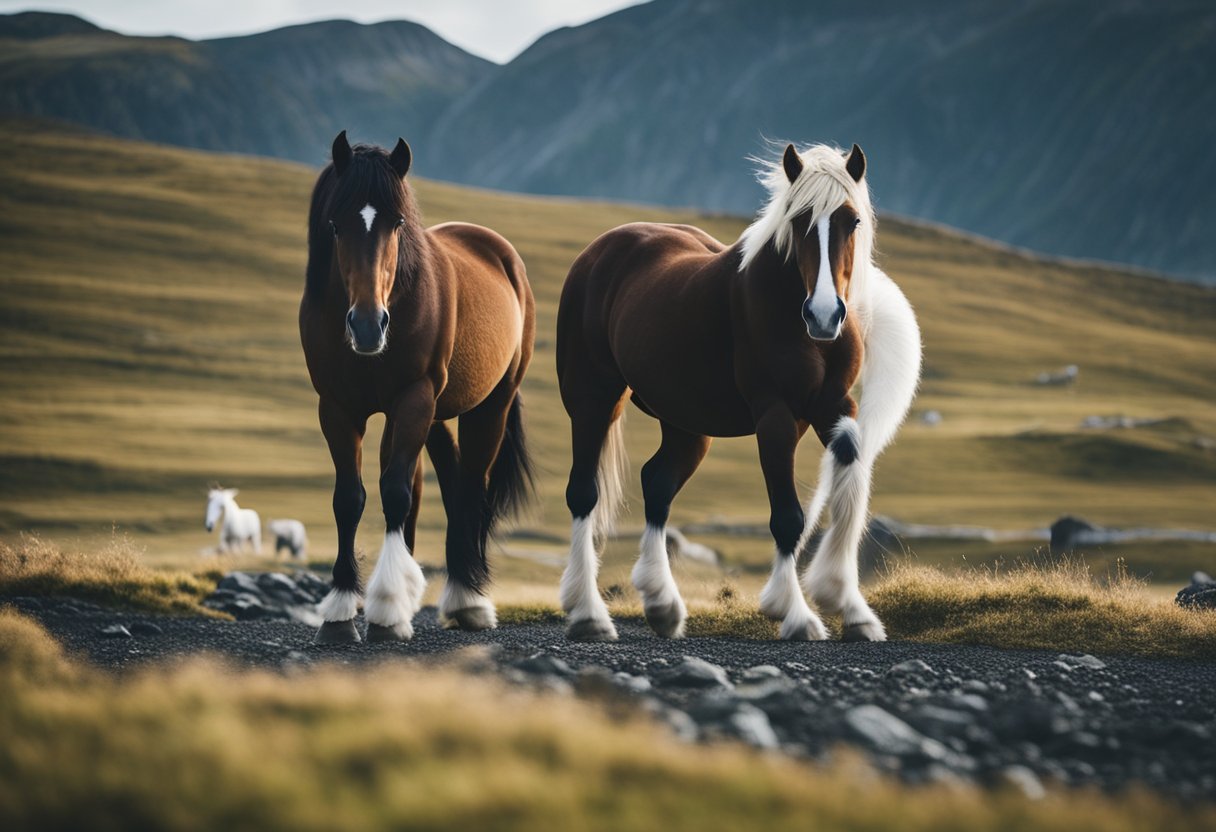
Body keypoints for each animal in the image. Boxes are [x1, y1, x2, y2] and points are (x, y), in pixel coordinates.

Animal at [302, 131, 532, 642]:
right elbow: (349, 498)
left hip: (487, 406)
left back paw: (469, 599)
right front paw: (341, 612)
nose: (368, 326)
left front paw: (387, 608)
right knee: (446, 483)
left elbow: (394, 492)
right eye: (336, 223)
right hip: (436, 416)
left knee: (471, 486)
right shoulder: (336, 407)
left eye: (398, 222)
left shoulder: (413, 398)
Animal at [556, 142, 919, 642]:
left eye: (854, 221)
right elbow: (787, 518)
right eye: (798, 219)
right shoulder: (775, 416)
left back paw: (662, 604)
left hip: (686, 423)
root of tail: (598, 251)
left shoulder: (834, 407)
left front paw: (848, 605)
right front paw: (795, 613)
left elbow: (849, 487)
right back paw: (588, 614)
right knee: (583, 495)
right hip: (592, 400)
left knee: (657, 483)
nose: (824, 315)